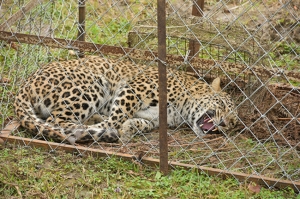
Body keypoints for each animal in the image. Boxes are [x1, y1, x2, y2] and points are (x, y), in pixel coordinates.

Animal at [14, 55, 238, 145]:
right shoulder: (133, 90)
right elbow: (117, 116)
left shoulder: (154, 119)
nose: (224, 123)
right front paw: (112, 129)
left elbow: (141, 123)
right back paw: (96, 130)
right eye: (222, 106)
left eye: (233, 123)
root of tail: (27, 81)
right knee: (58, 122)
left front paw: (129, 128)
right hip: (93, 85)